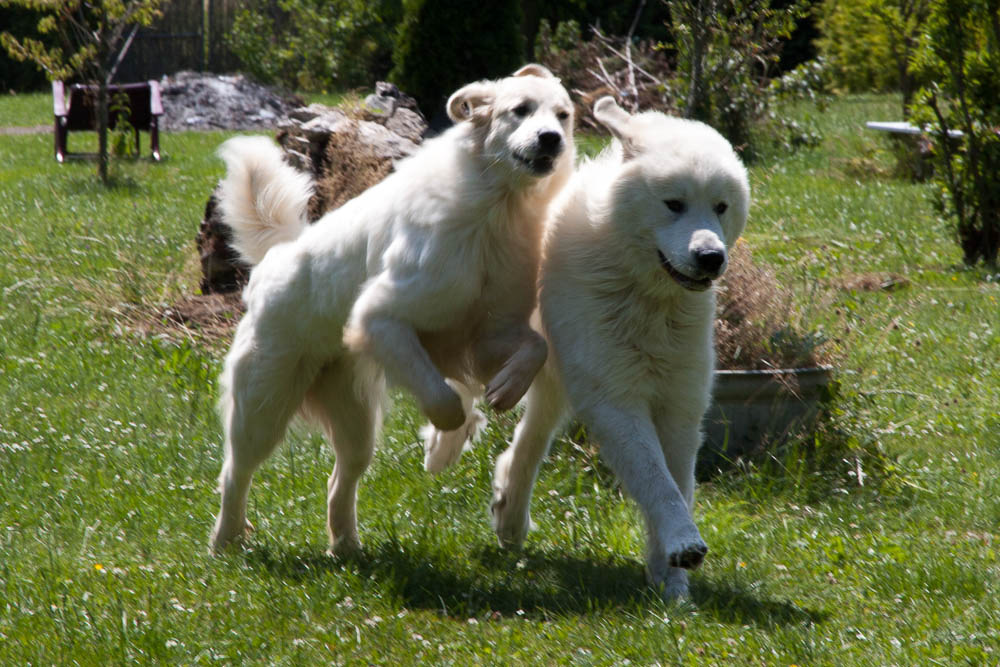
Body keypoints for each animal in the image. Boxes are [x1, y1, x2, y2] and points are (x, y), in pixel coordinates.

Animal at [207, 66, 576, 560]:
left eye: (563, 115)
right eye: (520, 110)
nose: (551, 139)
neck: (497, 207)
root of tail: (275, 258)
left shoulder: (489, 333)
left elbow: (533, 349)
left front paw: (502, 394)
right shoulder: (380, 318)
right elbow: (446, 400)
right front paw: (446, 444)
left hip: (356, 425)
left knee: (338, 482)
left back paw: (346, 547)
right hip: (263, 406)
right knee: (235, 473)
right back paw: (226, 541)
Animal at [488, 98, 748, 600]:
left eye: (721, 207)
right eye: (674, 204)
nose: (711, 258)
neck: (647, 298)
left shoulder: (681, 403)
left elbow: (677, 482)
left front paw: (671, 581)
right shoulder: (614, 399)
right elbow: (656, 479)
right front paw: (683, 544)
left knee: (529, 439)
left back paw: (509, 515)